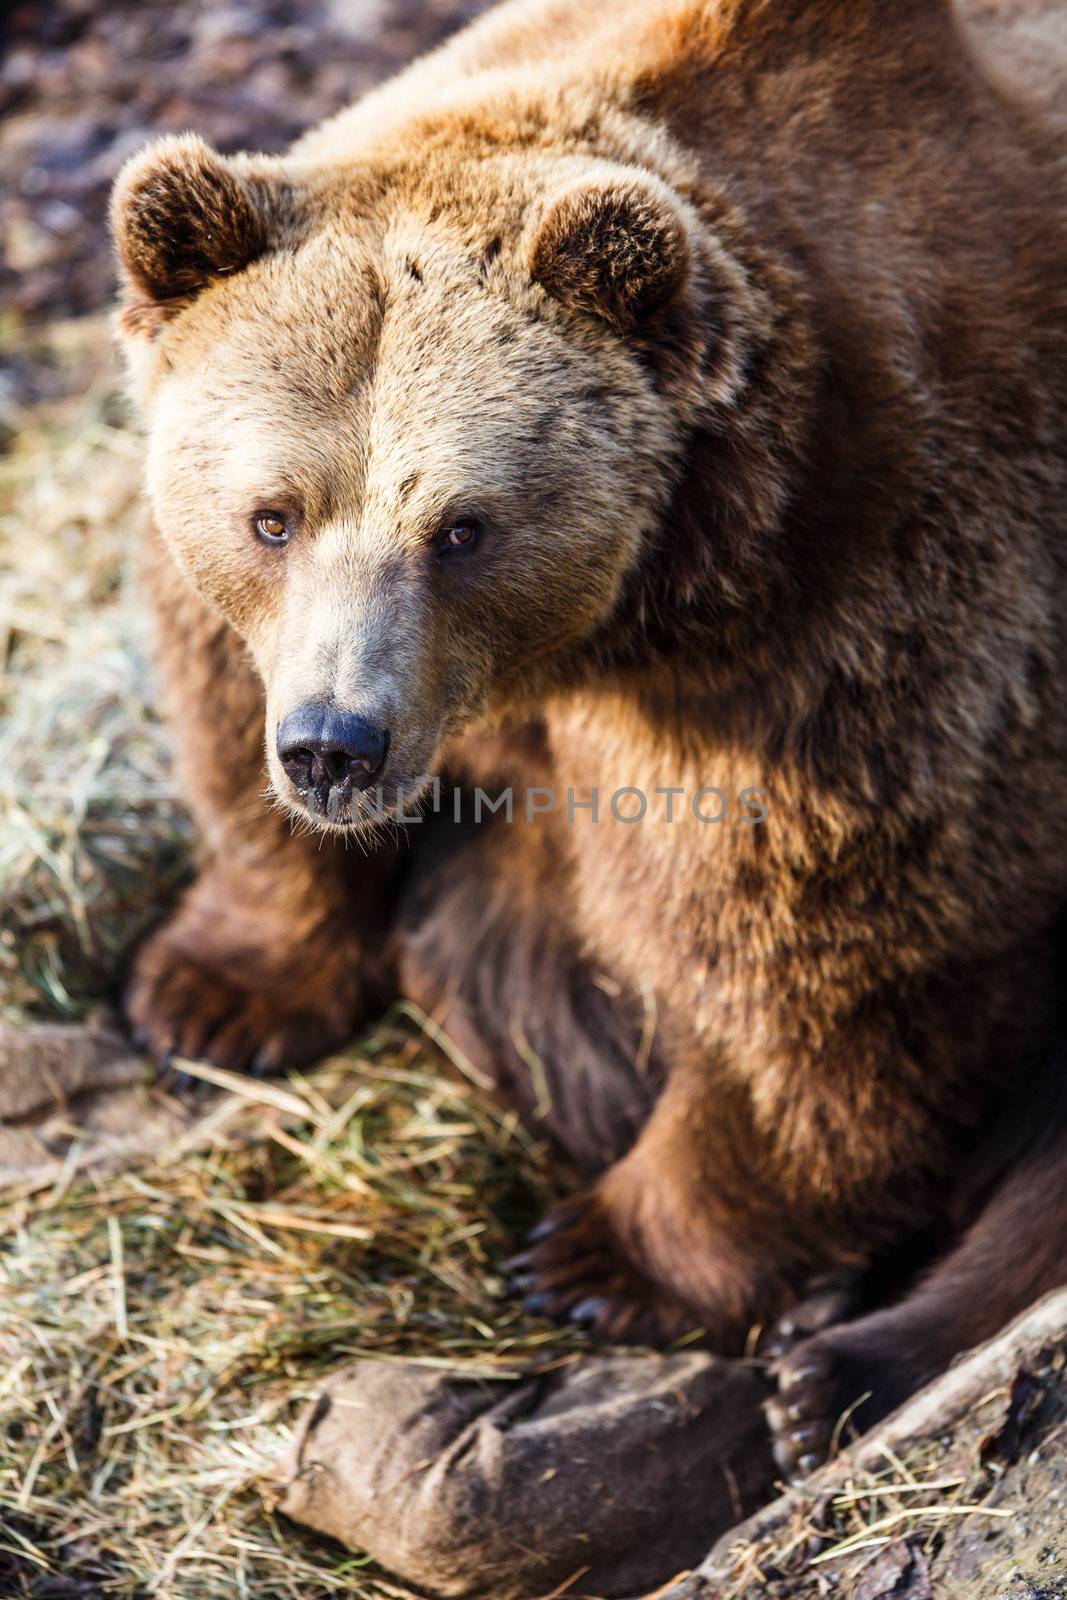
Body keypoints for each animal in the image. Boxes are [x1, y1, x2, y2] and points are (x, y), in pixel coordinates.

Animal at [110, 0, 1067, 1478]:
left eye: (462, 527)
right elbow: (226, 723)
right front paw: (214, 990)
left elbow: (823, 966)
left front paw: (602, 1257)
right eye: (272, 514)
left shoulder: (861, 631)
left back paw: (836, 1362)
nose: (334, 744)